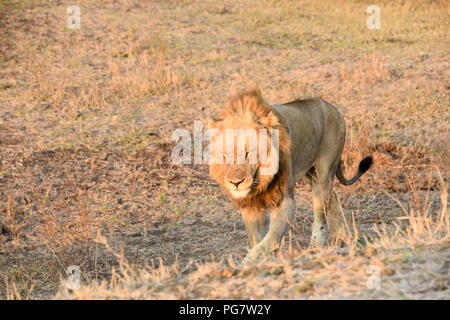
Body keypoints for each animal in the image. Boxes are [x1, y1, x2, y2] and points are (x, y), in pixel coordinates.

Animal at [208, 88, 372, 262]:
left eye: (248, 153)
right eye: (225, 155)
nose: (235, 183)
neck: (260, 179)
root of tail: (335, 109)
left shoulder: (285, 200)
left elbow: (272, 236)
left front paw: (251, 259)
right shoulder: (249, 204)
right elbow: (255, 237)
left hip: (323, 173)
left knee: (321, 213)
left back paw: (315, 248)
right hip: (311, 174)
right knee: (332, 199)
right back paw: (345, 239)